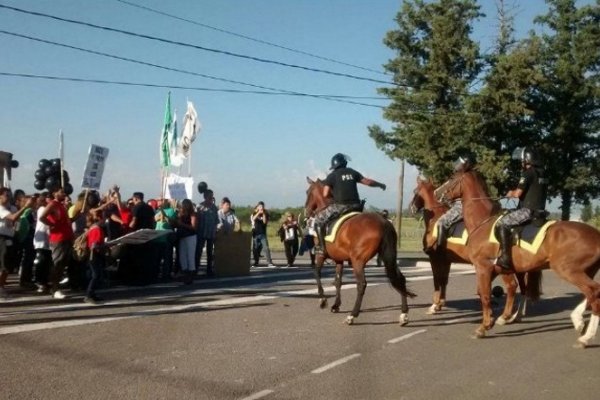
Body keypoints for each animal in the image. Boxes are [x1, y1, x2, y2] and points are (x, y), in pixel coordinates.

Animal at [304, 178, 418, 324]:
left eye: (308, 192)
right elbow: (338, 281)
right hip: (389, 257)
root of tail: (384, 222)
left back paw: (352, 315)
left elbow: (317, 273)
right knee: (399, 279)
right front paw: (336, 305)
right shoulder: (339, 260)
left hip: (358, 261)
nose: (306, 212)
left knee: (362, 284)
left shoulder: (320, 256)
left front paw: (323, 300)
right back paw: (404, 314)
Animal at [408, 177, 544, 324]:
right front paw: (440, 304)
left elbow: (437, 280)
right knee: (524, 289)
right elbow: (444, 280)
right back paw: (516, 315)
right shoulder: (446, 261)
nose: (411, 208)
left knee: (513, 286)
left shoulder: (435, 259)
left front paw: (434, 305)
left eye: (415, 191)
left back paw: (506, 316)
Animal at [436, 170, 600, 348]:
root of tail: (596, 235)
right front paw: (496, 319)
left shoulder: (483, 267)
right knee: (591, 294)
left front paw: (484, 327)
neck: (483, 222)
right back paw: (578, 322)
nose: (437, 193)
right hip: (586, 271)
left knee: (593, 292)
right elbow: (492, 291)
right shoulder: (499, 269)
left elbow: (486, 295)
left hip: (568, 270)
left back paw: (586, 337)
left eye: (452, 178)